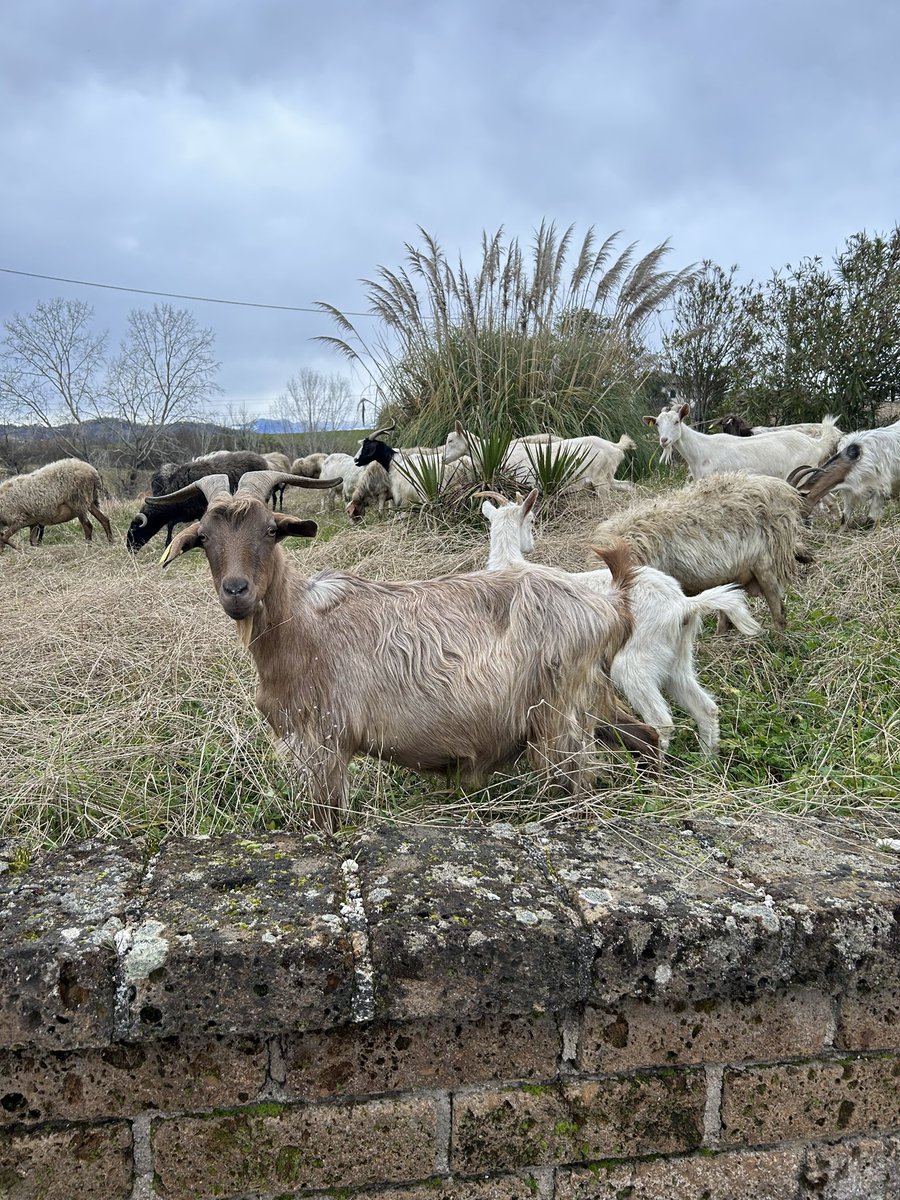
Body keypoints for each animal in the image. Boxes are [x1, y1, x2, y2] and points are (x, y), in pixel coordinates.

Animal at [127, 451, 270, 551]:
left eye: (134, 529)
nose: (129, 549)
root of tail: (262, 460)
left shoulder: (197, 510)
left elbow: (172, 524)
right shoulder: (187, 513)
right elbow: (171, 524)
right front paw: (168, 544)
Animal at [158, 470, 640, 830]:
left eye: (272, 530)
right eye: (204, 538)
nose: (235, 591)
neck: (302, 626)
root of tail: (610, 605)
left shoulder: (327, 744)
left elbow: (326, 820)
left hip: (560, 720)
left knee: (581, 784)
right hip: (591, 701)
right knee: (644, 736)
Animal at [443, 423, 635, 492]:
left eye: (451, 440)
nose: (443, 459)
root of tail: (615, 447)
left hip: (600, 478)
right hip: (608, 477)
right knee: (629, 486)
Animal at [480, 489, 761, 757]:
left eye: (532, 520)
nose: (532, 544)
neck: (509, 564)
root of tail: (682, 604)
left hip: (635, 662)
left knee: (661, 721)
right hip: (676, 658)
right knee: (705, 708)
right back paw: (706, 762)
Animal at [645, 404, 840, 480]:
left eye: (676, 421)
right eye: (657, 424)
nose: (664, 440)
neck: (700, 450)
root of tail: (816, 444)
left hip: (802, 471)